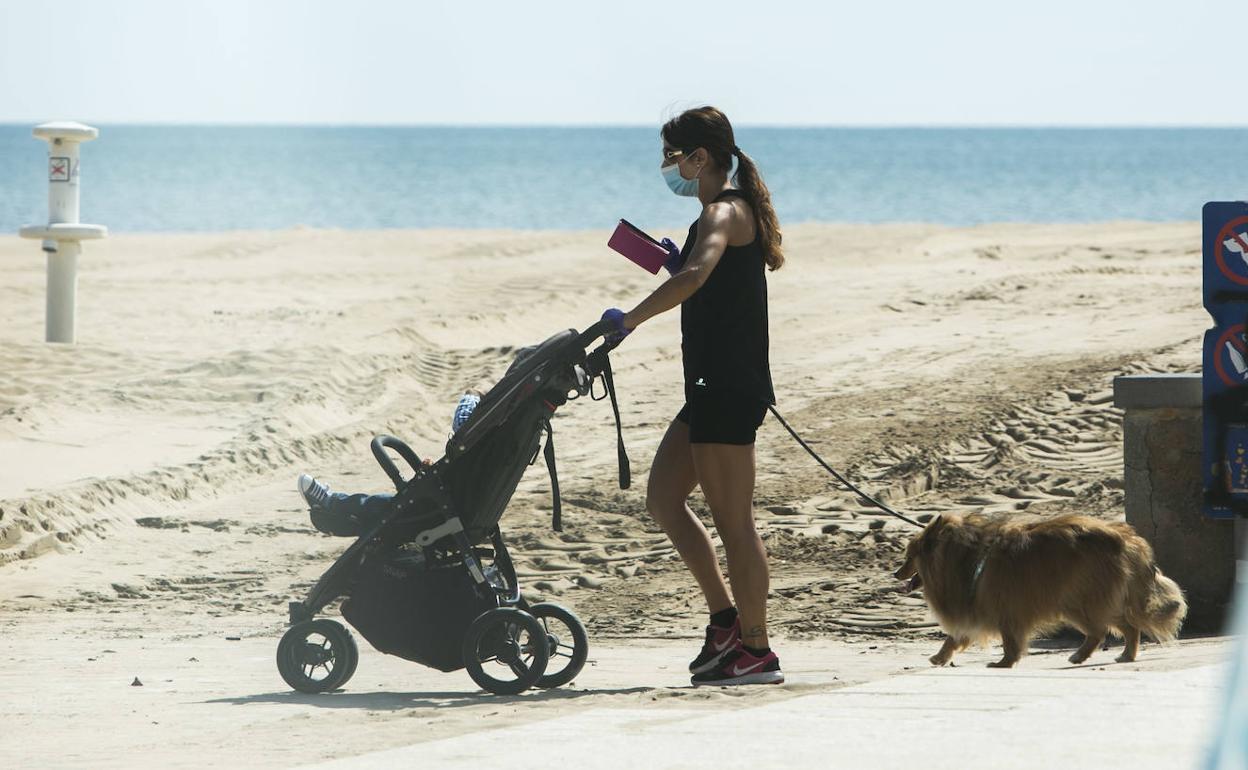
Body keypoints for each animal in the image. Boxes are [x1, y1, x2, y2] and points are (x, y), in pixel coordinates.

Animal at [893, 511, 1183, 668]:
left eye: (909, 557)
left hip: (1078, 600)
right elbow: (953, 638)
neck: (965, 557)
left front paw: (1003, 663)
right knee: (1126, 626)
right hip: (1085, 601)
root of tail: (1124, 537)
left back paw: (1083, 655)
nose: (895, 573)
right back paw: (1124, 655)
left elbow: (1009, 642)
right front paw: (940, 657)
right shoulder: (977, 608)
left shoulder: (1005, 611)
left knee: (1102, 629)